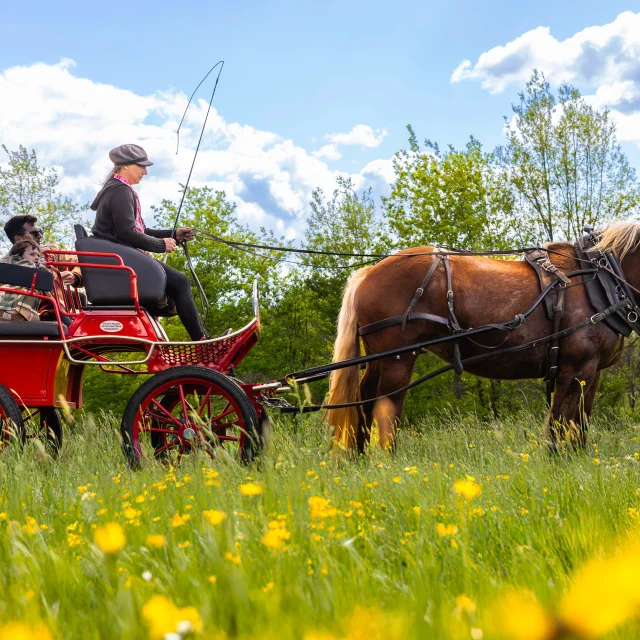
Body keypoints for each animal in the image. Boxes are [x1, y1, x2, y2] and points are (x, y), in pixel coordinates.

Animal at [328, 222, 640, 452]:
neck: (598, 279)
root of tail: (369, 272)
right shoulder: (574, 369)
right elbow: (559, 428)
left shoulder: (592, 372)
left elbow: (580, 427)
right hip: (398, 359)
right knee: (386, 410)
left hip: (378, 358)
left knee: (363, 404)